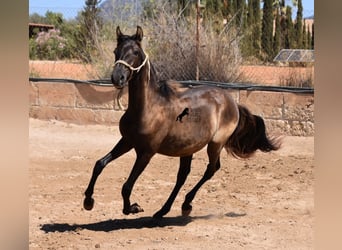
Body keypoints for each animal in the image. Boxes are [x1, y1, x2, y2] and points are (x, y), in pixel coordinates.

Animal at [83, 25, 280, 219]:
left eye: (136, 52)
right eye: (116, 51)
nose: (117, 78)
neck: (148, 108)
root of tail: (232, 103)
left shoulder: (146, 152)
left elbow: (127, 186)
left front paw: (133, 208)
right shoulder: (127, 141)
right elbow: (99, 164)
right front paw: (88, 201)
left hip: (215, 144)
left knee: (211, 169)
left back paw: (185, 204)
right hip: (188, 148)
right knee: (183, 176)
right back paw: (164, 210)